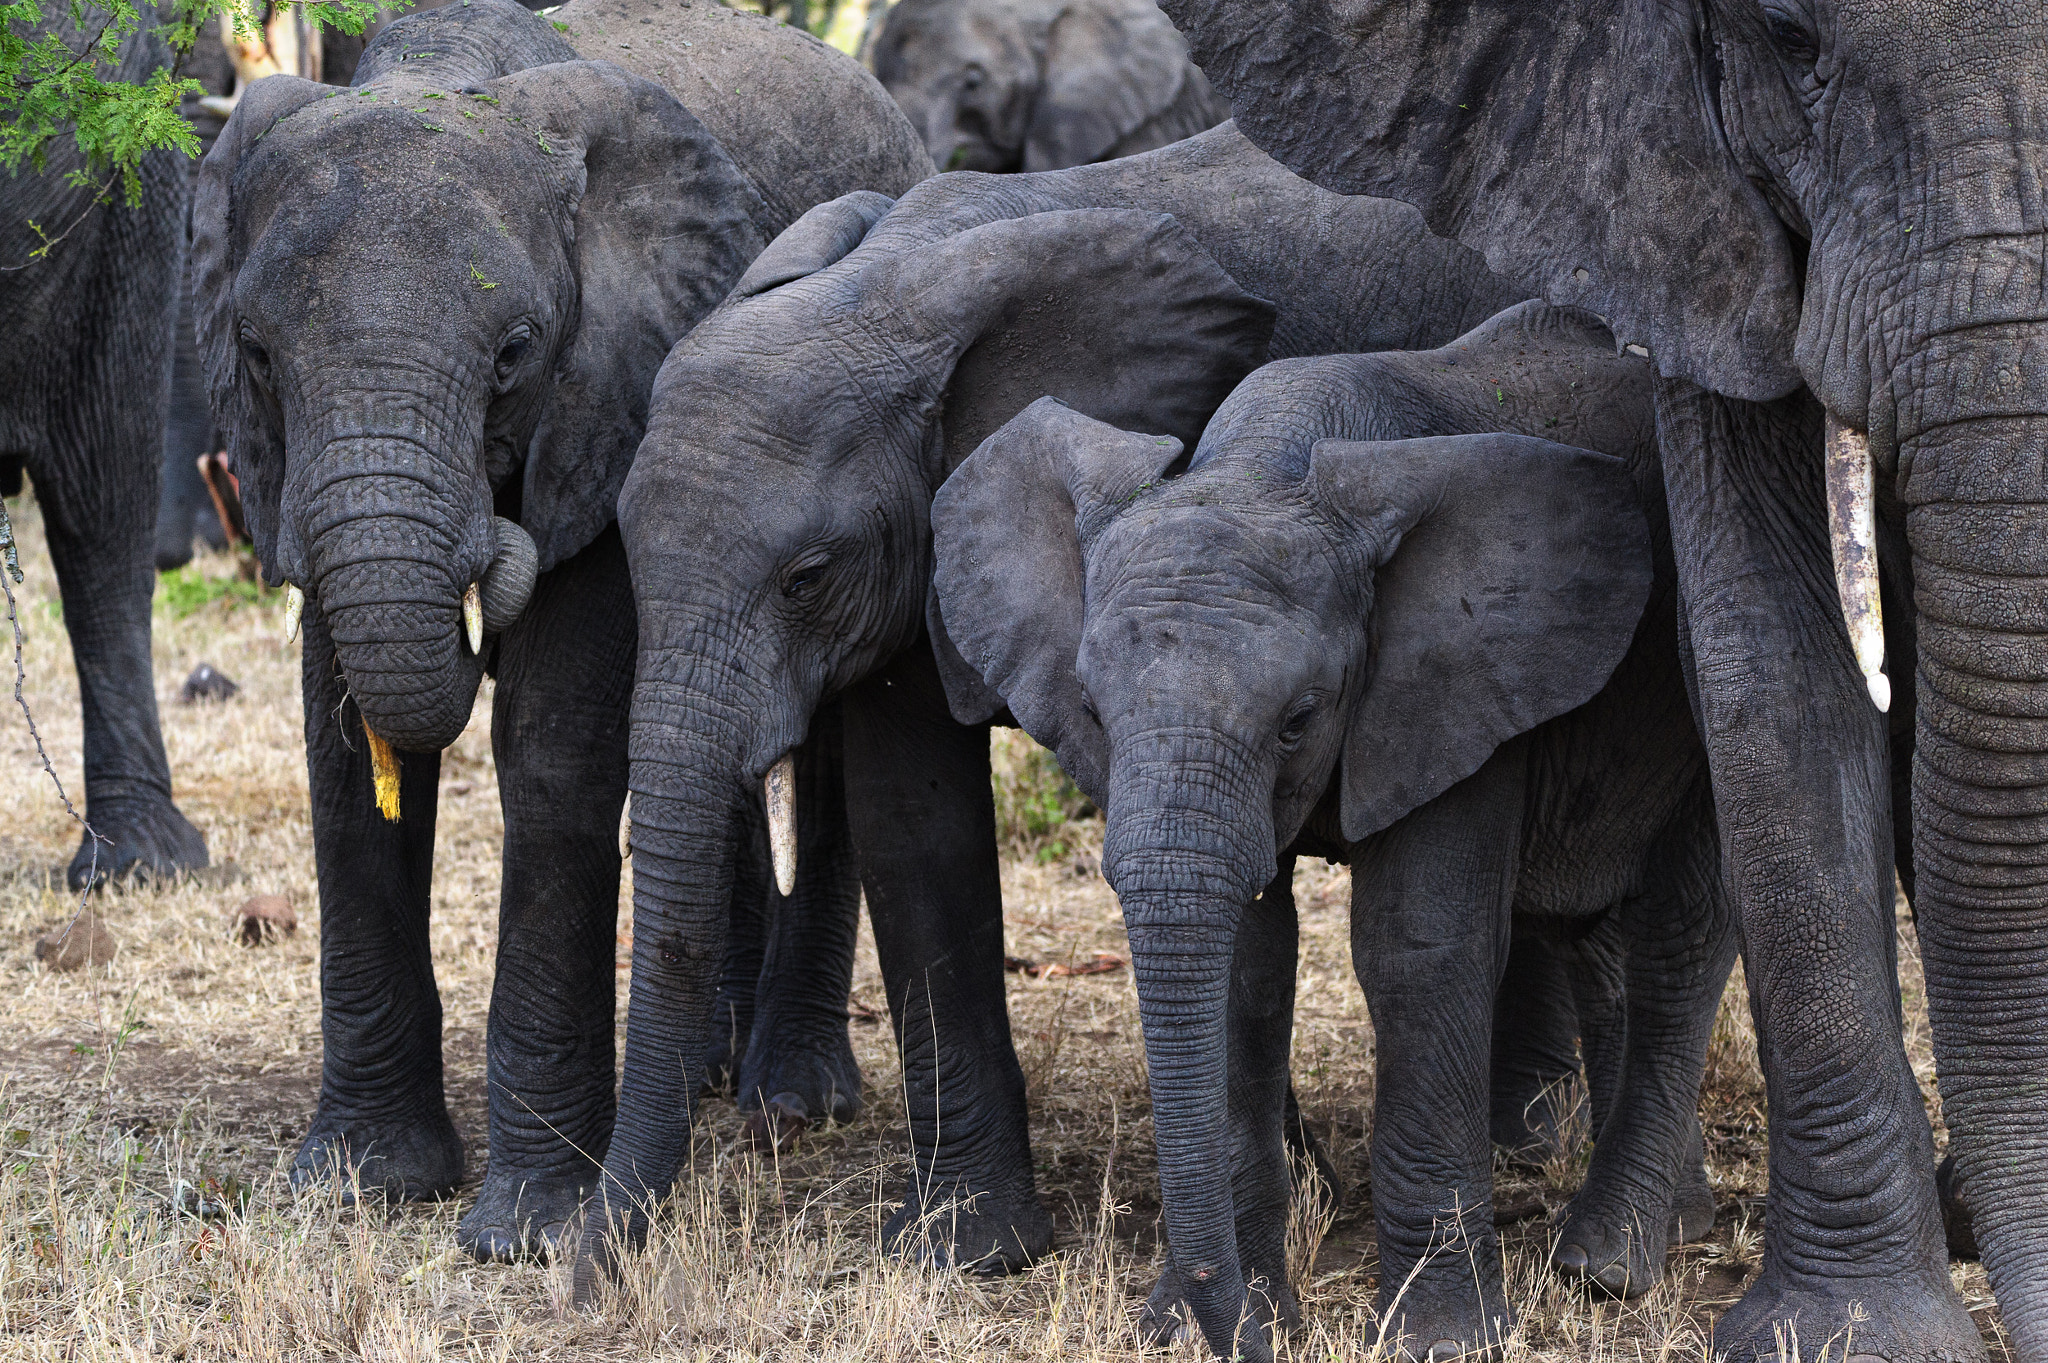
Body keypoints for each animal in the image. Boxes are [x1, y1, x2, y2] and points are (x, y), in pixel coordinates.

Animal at [193, 0, 931, 1262]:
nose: (491, 545)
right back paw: (707, 1075)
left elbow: (552, 742)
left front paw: (525, 1233)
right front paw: (358, 1185)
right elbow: (343, 757)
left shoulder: (615, 386)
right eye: (254, 352)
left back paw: (788, 1098)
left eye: (512, 352)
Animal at [932, 302, 1736, 1357]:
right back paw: (1668, 1222)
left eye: (1299, 720)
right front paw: (1202, 1321)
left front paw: (1443, 1338)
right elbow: (1247, 964)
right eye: (1095, 713)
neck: (1269, 469)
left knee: (1681, 929)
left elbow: (1417, 950)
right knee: (1596, 932)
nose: (1251, 1341)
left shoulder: (1455, 681)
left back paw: (1607, 1265)